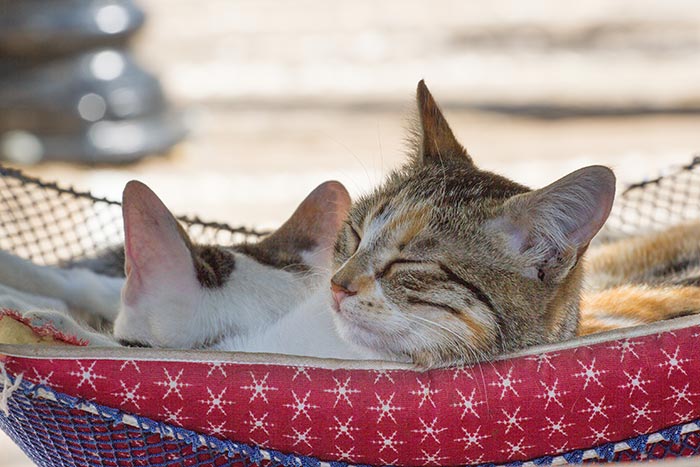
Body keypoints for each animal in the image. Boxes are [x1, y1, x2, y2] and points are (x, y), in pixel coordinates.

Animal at [1, 81, 700, 370]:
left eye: (410, 263)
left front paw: (50, 323)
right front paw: (22, 277)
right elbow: (85, 284)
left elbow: (121, 342)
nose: (339, 283)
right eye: (356, 234)